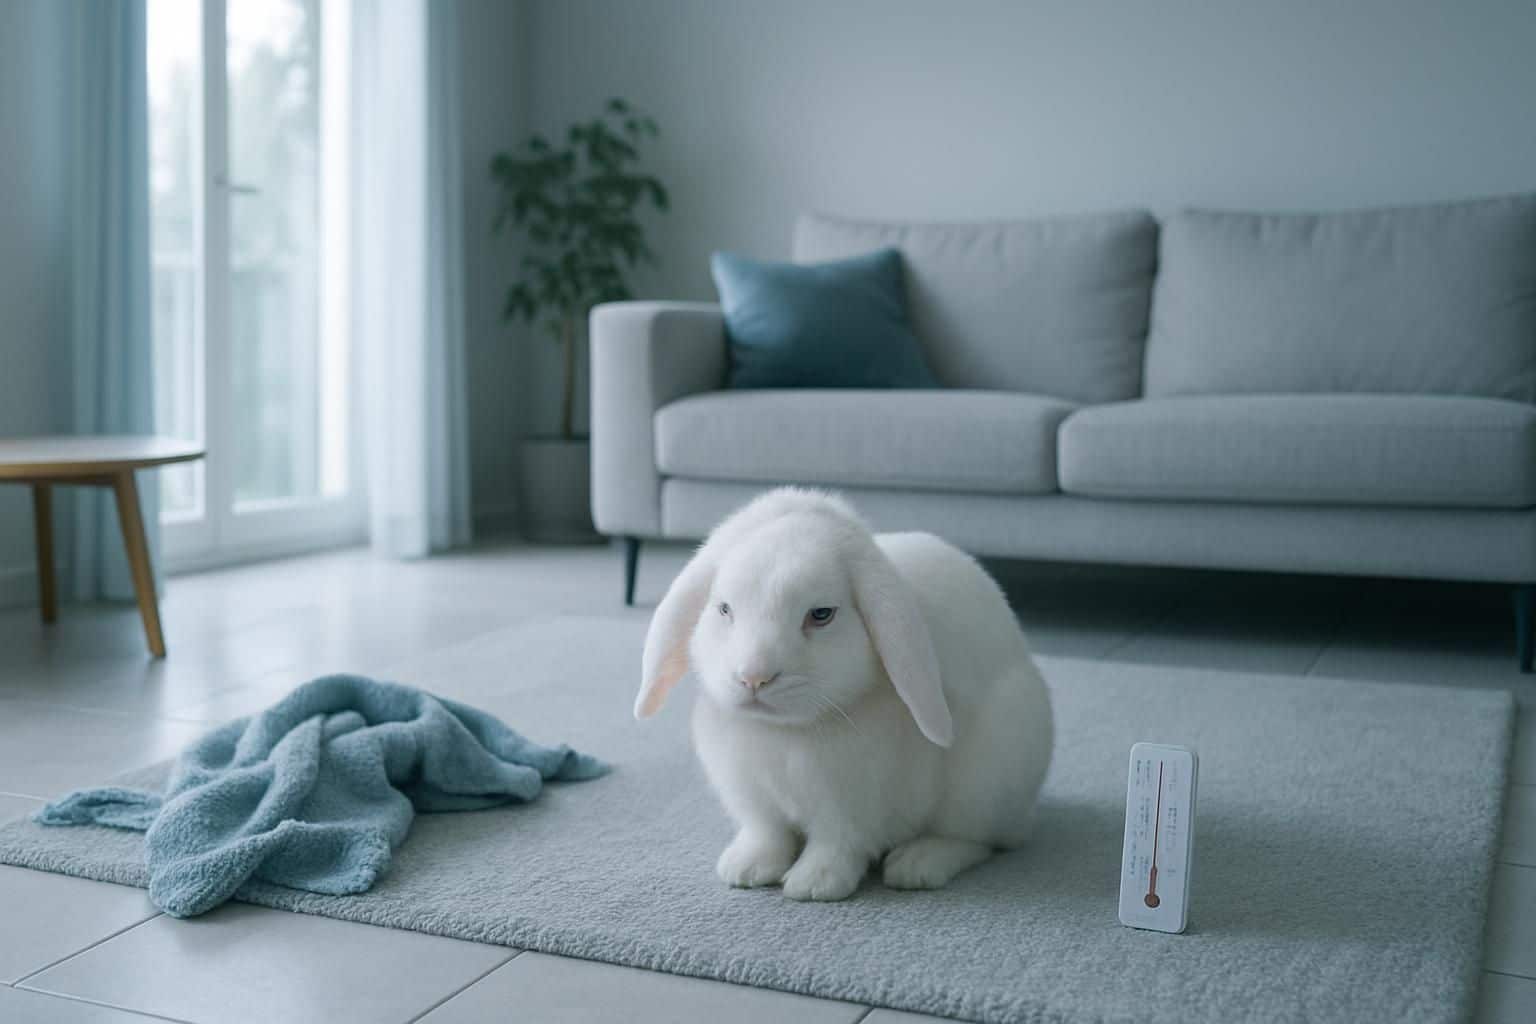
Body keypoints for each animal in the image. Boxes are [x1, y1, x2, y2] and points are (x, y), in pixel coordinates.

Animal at [634, 487, 1053, 901]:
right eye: (723, 609)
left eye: (821, 614)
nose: (754, 677)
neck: (785, 732)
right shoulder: (755, 802)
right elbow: (767, 834)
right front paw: (746, 869)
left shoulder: (852, 808)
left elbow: (837, 844)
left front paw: (814, 885)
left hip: (984, 783)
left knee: (976, 840)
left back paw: (917, 865)